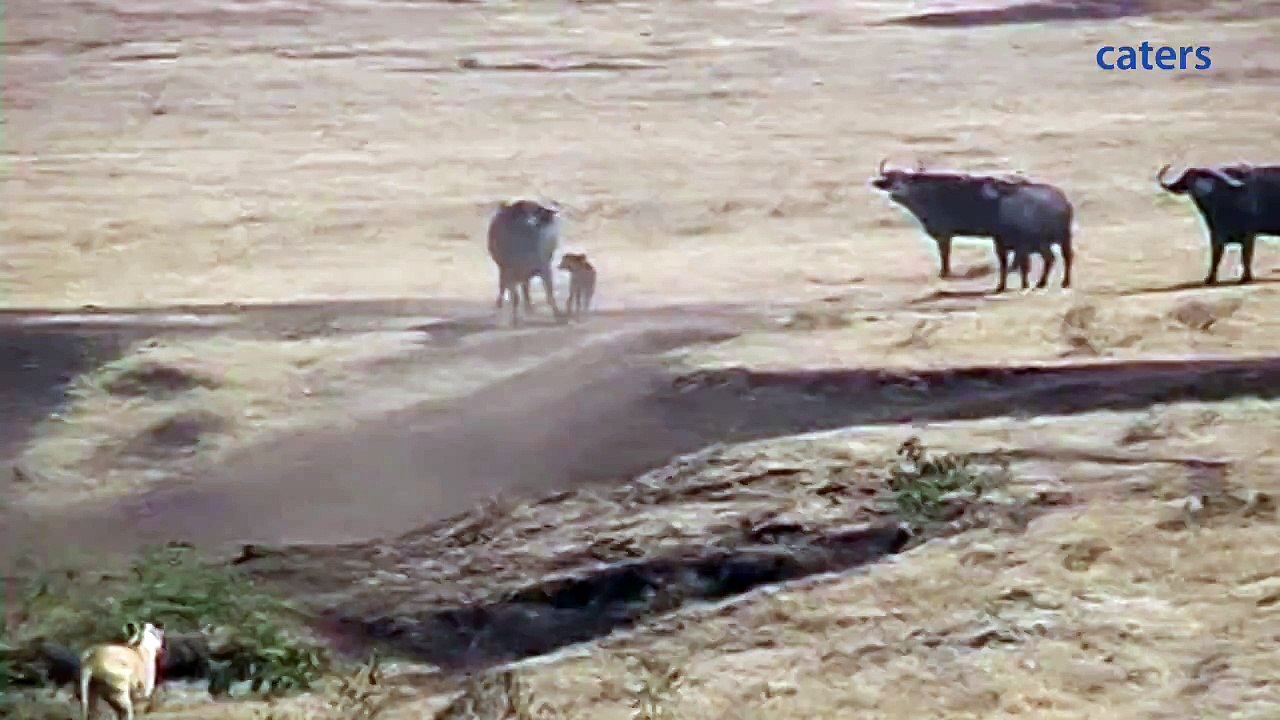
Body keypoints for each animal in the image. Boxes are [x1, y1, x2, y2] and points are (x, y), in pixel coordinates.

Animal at [870, 159, 1074, 293]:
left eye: (905, 179)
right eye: (890, 180)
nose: (896, 192)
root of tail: (1063, 200)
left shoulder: (944, 234)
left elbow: (945, 254)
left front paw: (945, 272)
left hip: (1062, 238)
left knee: (1065, 257)